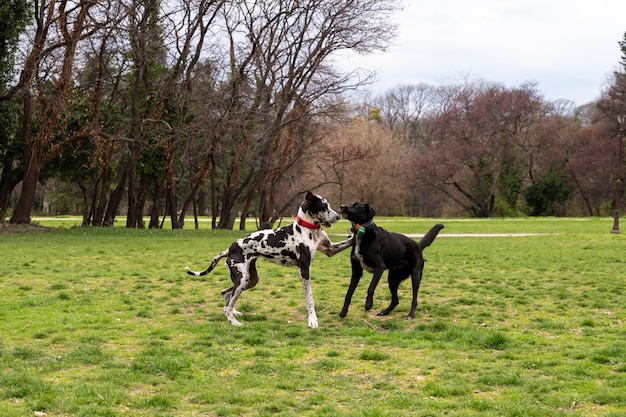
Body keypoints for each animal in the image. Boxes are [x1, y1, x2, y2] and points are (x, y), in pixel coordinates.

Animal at [185, 192, 352, 328]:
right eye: (323, 207)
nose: (338, 216)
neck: (308, 228)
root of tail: (230, 249)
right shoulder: (304, 270)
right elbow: (309, 299)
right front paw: (312, 320)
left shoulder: (330, 250)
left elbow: (348, 241)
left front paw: (356, 233)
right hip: (242, 279)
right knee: (227, 305)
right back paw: (234, 322)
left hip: (249, 280)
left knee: (226, 294)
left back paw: (234, 313)